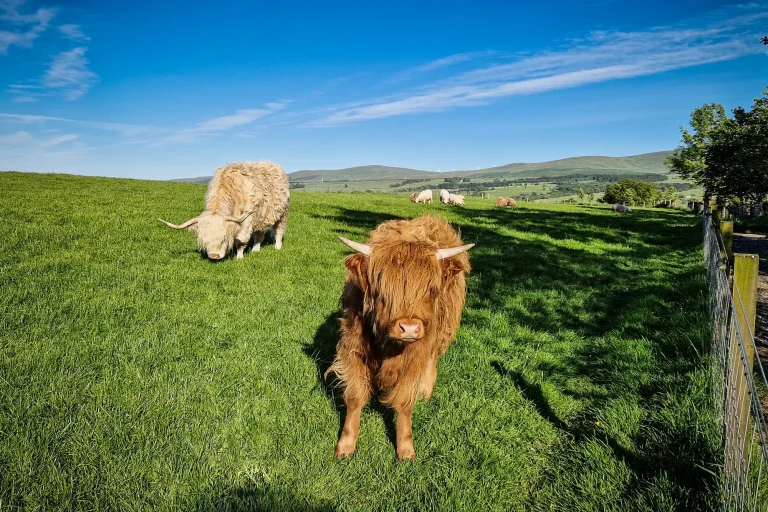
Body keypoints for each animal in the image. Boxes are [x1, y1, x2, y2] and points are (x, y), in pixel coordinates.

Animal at [159, 161, 290, 260]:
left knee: (279, 231)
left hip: (282, 214)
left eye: (223, 239)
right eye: (205, 240)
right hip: (261, 216)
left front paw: (239, 257)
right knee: (259, 234)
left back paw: (277, 247)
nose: (214, 256)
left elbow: (240, 241)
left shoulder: (246, 222)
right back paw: (255, 250)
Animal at [328, 216, 474, 460]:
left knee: (432, 360)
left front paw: (405, 448)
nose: (409, 328)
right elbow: (355, 397)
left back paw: (425, 390)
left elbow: (404, 402)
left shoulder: (414, 357)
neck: (388, 346)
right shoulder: (353, 348)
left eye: (431, 290)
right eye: (383, 290)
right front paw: (346, 444)